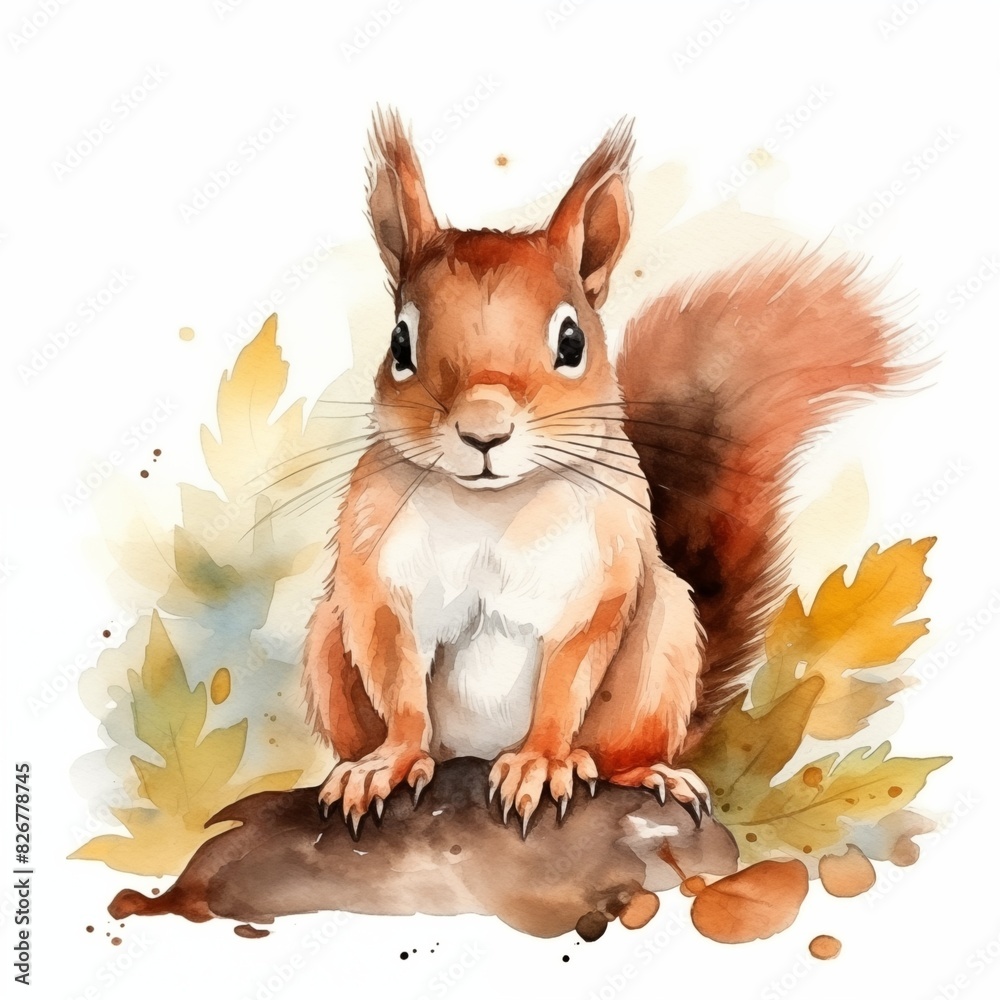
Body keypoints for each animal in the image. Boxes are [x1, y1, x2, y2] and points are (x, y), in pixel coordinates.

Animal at [303, 110, 907, 836]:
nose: (484, 430)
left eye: (572, 341)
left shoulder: (601, 574)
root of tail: (474, 753)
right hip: (324, 643)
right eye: (399, 343)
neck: (493, 507)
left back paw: (648, 773)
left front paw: (540, 762)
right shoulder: (376, 575)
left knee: (620, 749)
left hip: (663, 646)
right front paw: (387, 763)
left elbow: (567, 679)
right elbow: (397, 682)